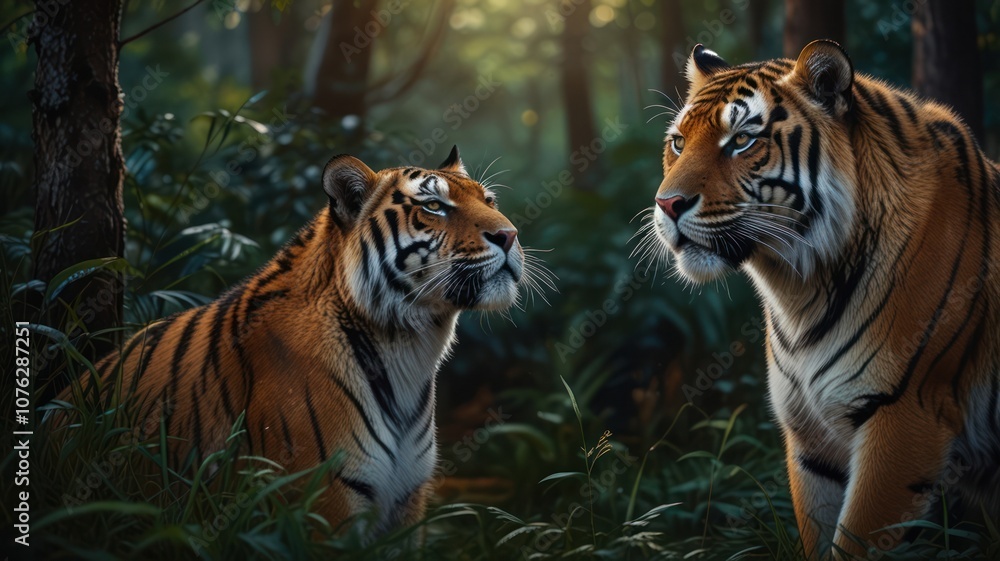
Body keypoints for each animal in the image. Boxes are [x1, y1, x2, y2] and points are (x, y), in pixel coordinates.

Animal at [59, 146, 525, 538]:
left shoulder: (406, 502)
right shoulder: (322, 497)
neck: (411, 345)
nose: (510, 235)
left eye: (490, 201)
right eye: (433, 206)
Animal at [644, 40, 1000, 559]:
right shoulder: (809, 436)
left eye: (742, 140)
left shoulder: (904, 418)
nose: (667, 205)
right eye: (677, 143)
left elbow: (857, 541)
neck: (799, 288)